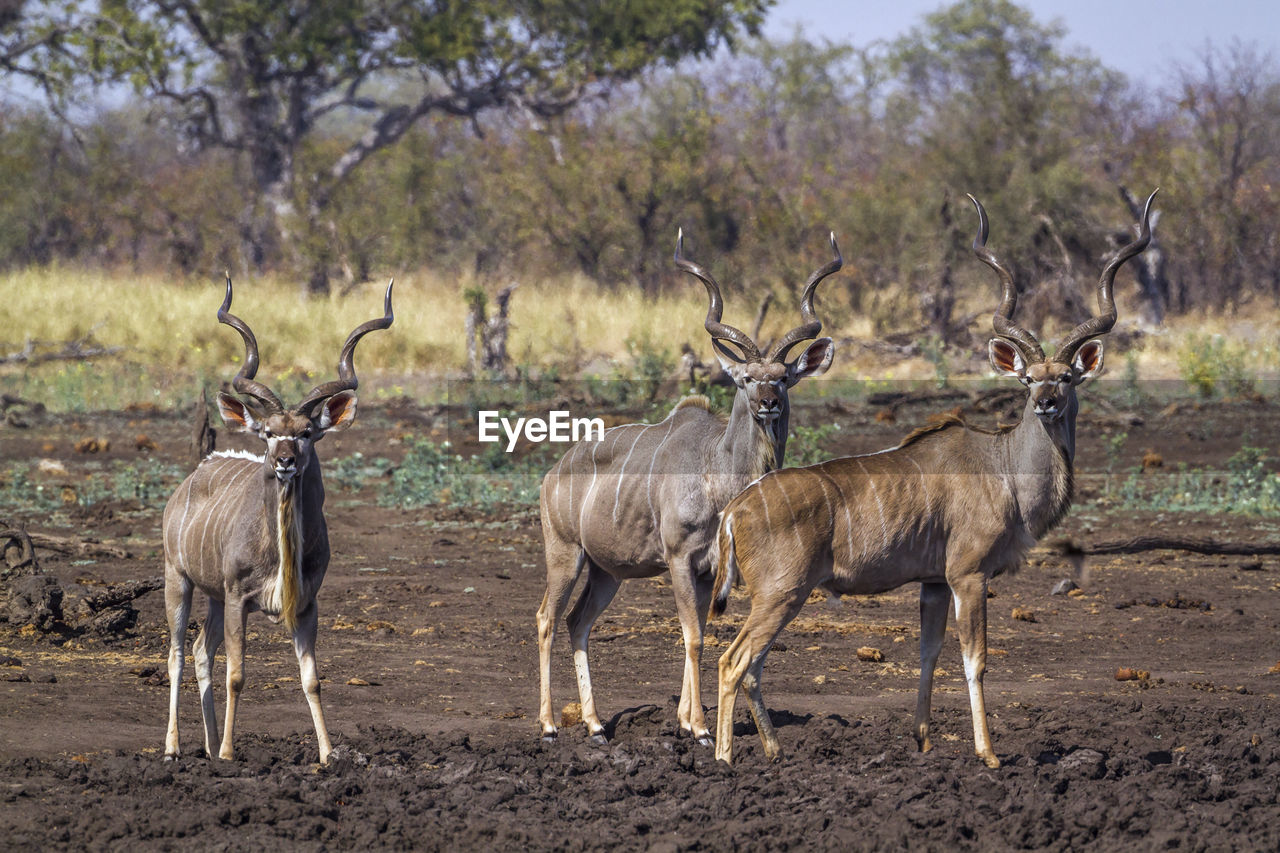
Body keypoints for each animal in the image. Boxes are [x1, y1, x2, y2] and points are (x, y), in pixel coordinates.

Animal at [162, 275, 389, 758]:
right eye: (268, 432)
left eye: (306, 433)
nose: (284, 461)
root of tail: (194, 475)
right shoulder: (238, 599)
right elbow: (237, 675)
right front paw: (230, 753)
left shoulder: (305, 605)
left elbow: (312, 680)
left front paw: (327, 754)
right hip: (180, 579)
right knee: (176, 653)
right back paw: (176, 748)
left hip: (213, 596)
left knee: (200, 650)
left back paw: (208, 745)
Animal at [537, 229, 844, 742]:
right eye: (745, 378)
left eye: (784, 378)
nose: (767, 403)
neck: (716, 473)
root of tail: (552, 473)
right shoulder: (680, 559)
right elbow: (694, 636)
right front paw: (699, 727)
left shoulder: (707, 570)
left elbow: (698, 633)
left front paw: (685, 719)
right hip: (566, 553)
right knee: (547, 618)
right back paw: (547, 725)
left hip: (607, 571)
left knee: (578, 622)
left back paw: (597, 724)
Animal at [716, 190, 1157, 763]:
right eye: (1028, 379)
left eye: (1065, 377)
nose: (1046, 403)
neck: (1002, 467)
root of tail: (736, 508)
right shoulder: (967, 574)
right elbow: (975, 660)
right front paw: (988, 754)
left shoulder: (930, 583)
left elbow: (928, 654)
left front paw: (923, 741)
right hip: (781, 593)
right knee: (733, 661)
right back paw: (723, 755)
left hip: (780, 598)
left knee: (752, 664)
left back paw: (771, 750)